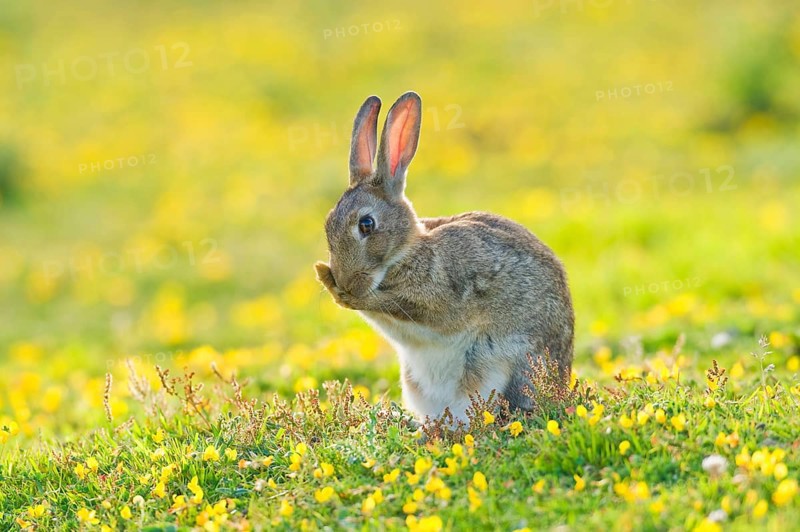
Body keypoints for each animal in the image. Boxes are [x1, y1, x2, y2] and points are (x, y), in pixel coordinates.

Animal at [315, 91, 574, 423]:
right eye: (328, 225)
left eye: (366, 224)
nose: (346, 283)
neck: (406, 251)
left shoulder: (440, 296)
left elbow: (393, 306)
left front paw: (342, 291)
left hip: (497, 366)